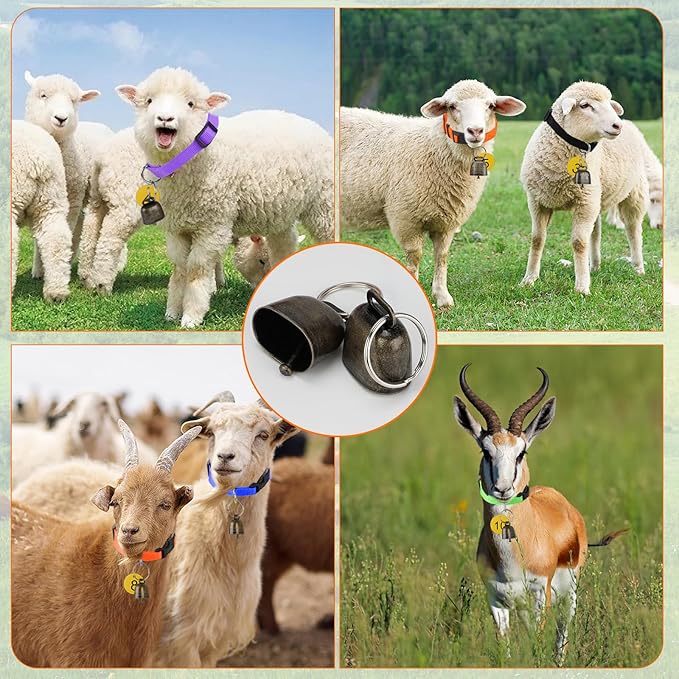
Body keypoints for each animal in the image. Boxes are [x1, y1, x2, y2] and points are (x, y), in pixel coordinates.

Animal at [115, 67, 333, 327]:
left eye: (191, 104)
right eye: (148, 101)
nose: (165, 118)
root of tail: (316, 126)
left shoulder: (213, 224)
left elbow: (197, 269)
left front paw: (191, 316)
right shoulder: (176, 228)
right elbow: (180, 268)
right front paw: (171, 312)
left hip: (324, 204)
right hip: (280, 213)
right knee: (285, 245)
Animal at [340, 80, 526, 308]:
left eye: (490, 105)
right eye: (452, 106)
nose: (475, 131)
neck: (435, 147)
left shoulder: (447, 222)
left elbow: (442, 256)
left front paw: (443, 297)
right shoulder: (406, 218)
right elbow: (415, 257)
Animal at [520, 81, 649, 295]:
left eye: (609, 103)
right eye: (585, 105)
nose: (617, 125)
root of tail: (631, 124)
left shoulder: (584, 202)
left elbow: (579, 243)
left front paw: (581, 287)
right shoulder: (538, 201)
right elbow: (537, 239)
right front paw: (529, 279)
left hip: (633, 193)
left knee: (633, 230)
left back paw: (638, 267)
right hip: (596, 197)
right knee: (595, 233)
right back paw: (594, 266)